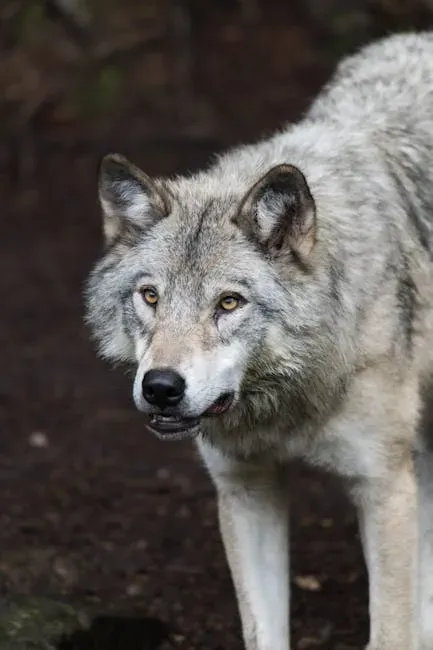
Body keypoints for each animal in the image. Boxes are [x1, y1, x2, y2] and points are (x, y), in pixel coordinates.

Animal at [85, 31, 433, 650]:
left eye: (228, 303)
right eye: (150, 296)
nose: (161, 387)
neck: (286, 403)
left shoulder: (383, 487)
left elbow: (391, 630)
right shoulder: (246, 490)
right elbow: (263, 631)